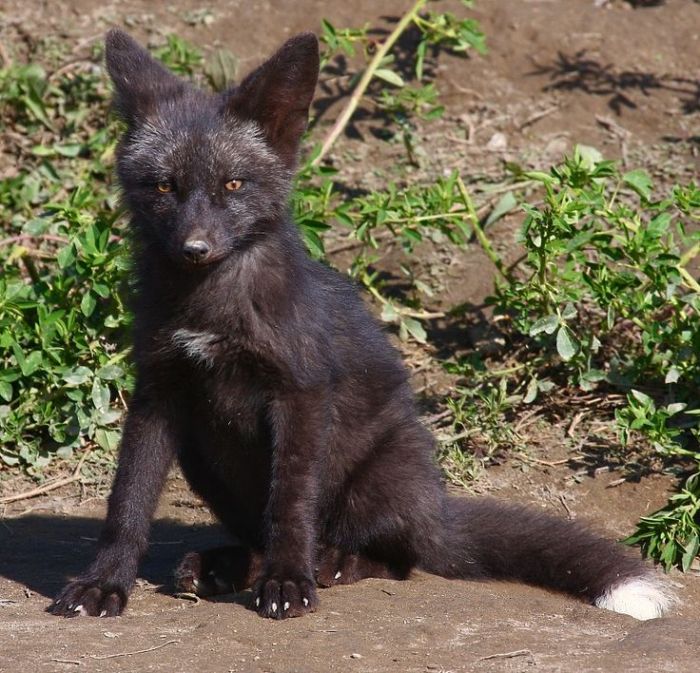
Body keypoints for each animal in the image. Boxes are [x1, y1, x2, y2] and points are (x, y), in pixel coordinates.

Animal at [49, 30, 672, 620]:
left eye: (232, 185)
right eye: (164, 186)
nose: (194, 249)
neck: (211, 308)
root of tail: (436, 511)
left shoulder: (299, 393)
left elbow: (291, 505)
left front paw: (288, 585)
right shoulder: (159, 391)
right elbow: (126, 506)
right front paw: (105, 584)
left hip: (377, 483)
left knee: (398, 559)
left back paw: (329, 565)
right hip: (203, 457)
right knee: (263, 538)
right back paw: (225, 568)